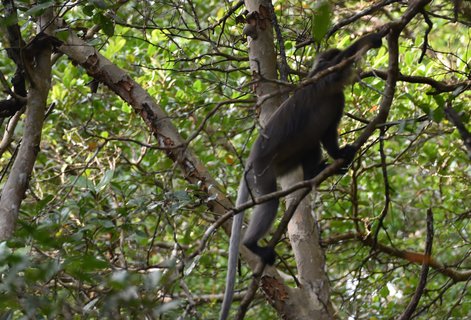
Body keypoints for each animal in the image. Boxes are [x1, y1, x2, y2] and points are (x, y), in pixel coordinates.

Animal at [221, 33, 384, 320]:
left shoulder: (338, 99)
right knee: (270, 202)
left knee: (310, 144)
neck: (331, 90)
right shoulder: (324, 77)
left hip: (283, 164)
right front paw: (374, 36)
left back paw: (315, 173)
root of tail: (250, 162)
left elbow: (327, 135)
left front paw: (341, 154)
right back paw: (252, 245)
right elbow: (337, 65)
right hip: (262, 172)